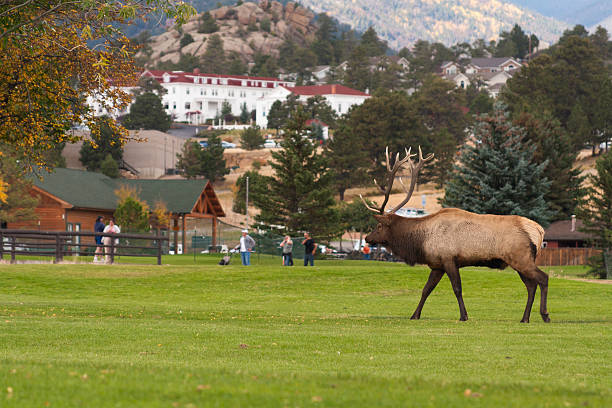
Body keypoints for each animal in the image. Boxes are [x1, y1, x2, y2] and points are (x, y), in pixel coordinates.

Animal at [360, 147, 552, 322]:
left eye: (379, 226)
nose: (367, 238)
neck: (421, 241)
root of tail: (538, 230)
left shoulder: (449, 258)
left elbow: (457, 288)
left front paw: (464, 316)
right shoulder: (437, 265)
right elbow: (426, 289)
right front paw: (415, 315)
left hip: (520, 257)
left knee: (543, 278)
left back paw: (545, 315)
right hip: (519, 261)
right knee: (531, 285)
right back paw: (525, 318)